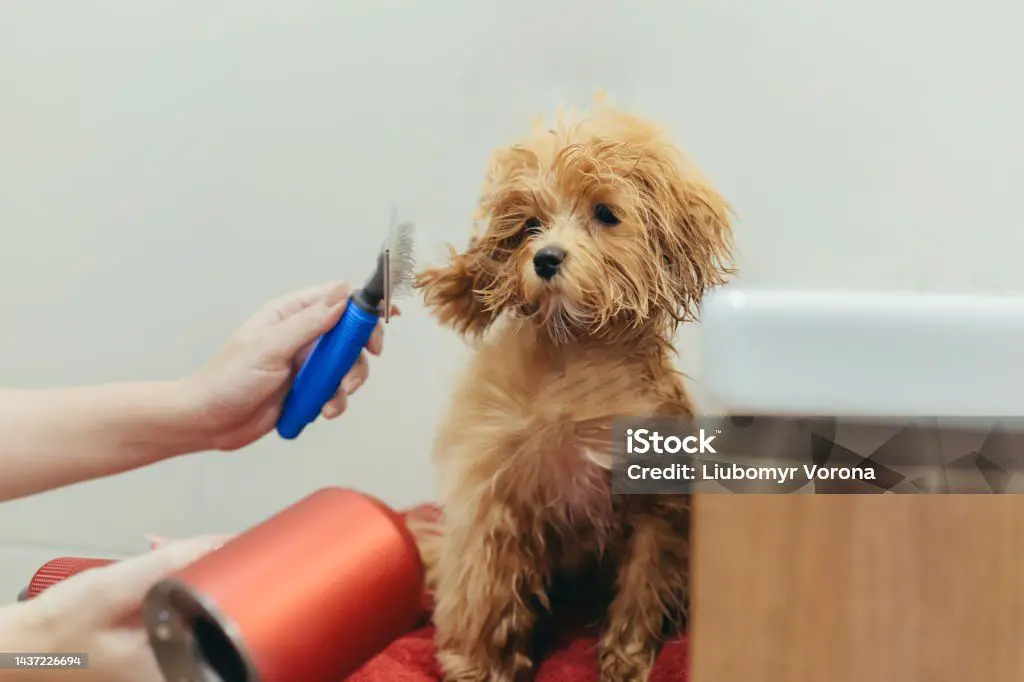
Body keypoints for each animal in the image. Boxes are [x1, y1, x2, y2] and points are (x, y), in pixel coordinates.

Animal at [411, 96, 733, 679]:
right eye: (529, 225)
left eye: (605, 213)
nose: (546, 258)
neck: (578, 360)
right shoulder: (495, 494)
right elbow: (488, 591)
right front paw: (481, 665)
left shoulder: (656, 510)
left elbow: (642, 586)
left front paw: (626, 659)